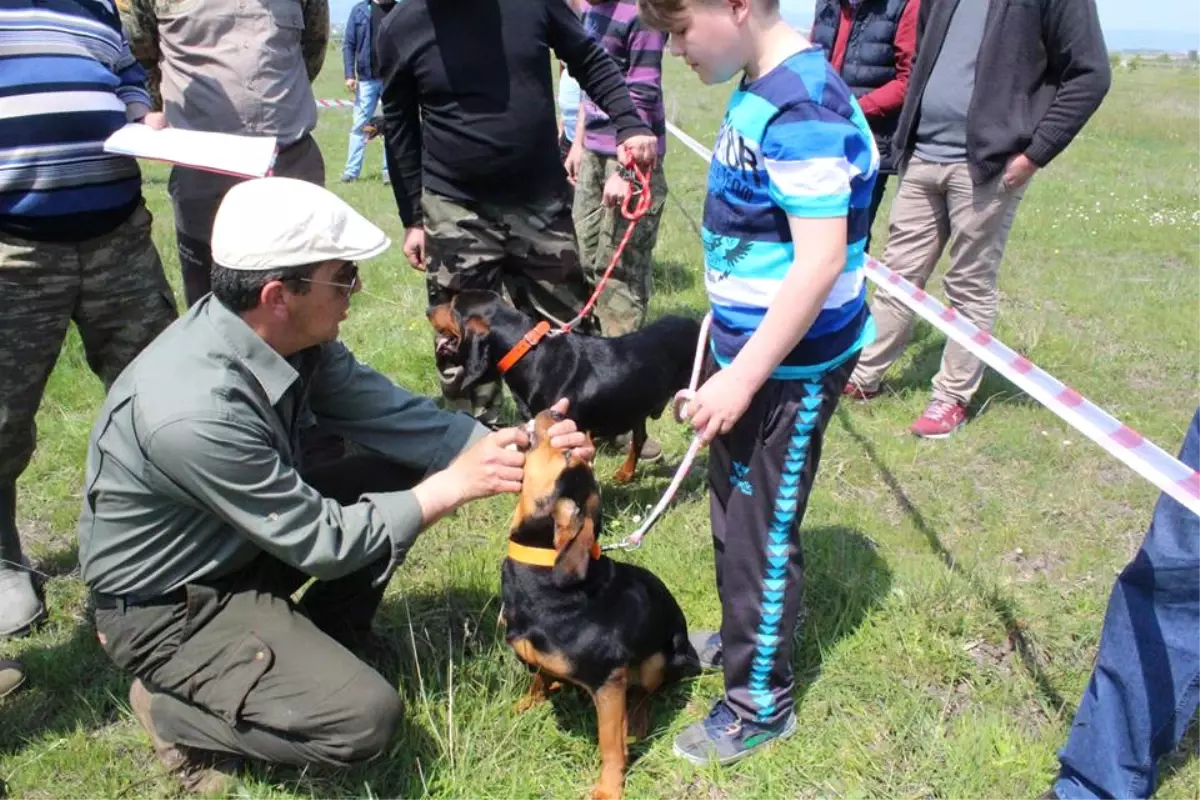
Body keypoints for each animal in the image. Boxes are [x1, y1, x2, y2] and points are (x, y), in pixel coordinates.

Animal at [427, 292, 700, 484]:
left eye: (453, 304)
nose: (429, 310)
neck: (531, 354)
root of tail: (697, 324)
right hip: (635, 405)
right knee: (639, 438)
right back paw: (626, 473)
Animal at [501, 412, 696, 800]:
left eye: (567, 456)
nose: (559, 413)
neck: (542, 567)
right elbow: (539, 678)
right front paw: (528, 702)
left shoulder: (608, 681)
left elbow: (609, 743)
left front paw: (609, 786)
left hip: (657, 659)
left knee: (645, 694)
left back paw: (636, 723)